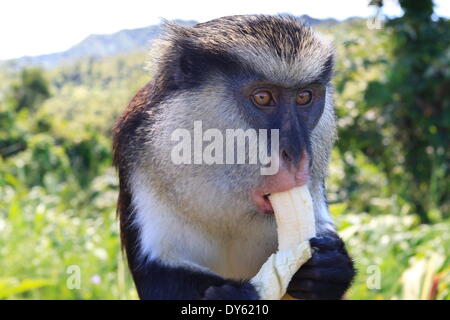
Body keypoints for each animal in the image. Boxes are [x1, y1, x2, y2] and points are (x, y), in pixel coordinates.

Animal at [114, 15, 356, 300]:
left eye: (304, 96)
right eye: (263, 97)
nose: (297, 154)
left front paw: (331, 268)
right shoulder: (138, 156)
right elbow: (155, 277)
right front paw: (232, 296)